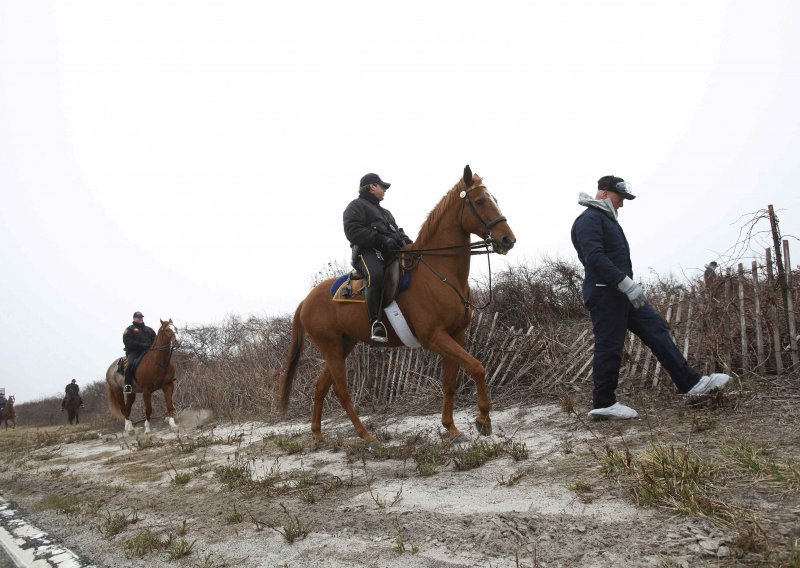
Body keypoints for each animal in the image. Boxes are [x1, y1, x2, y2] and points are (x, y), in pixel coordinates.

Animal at [282, 166, 516, 442]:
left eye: (495, 200)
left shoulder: (455, 334)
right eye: (479, 201)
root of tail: (306, 300)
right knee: (341, 390)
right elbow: (478, 368)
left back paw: (318, 434)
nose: (507, 240)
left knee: (321, 386)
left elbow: (450, 381)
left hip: (343, 346)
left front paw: (451, 427)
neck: (439, 271)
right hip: (331, 348)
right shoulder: (434, 337)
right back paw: (364, 435)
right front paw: (483, 419)